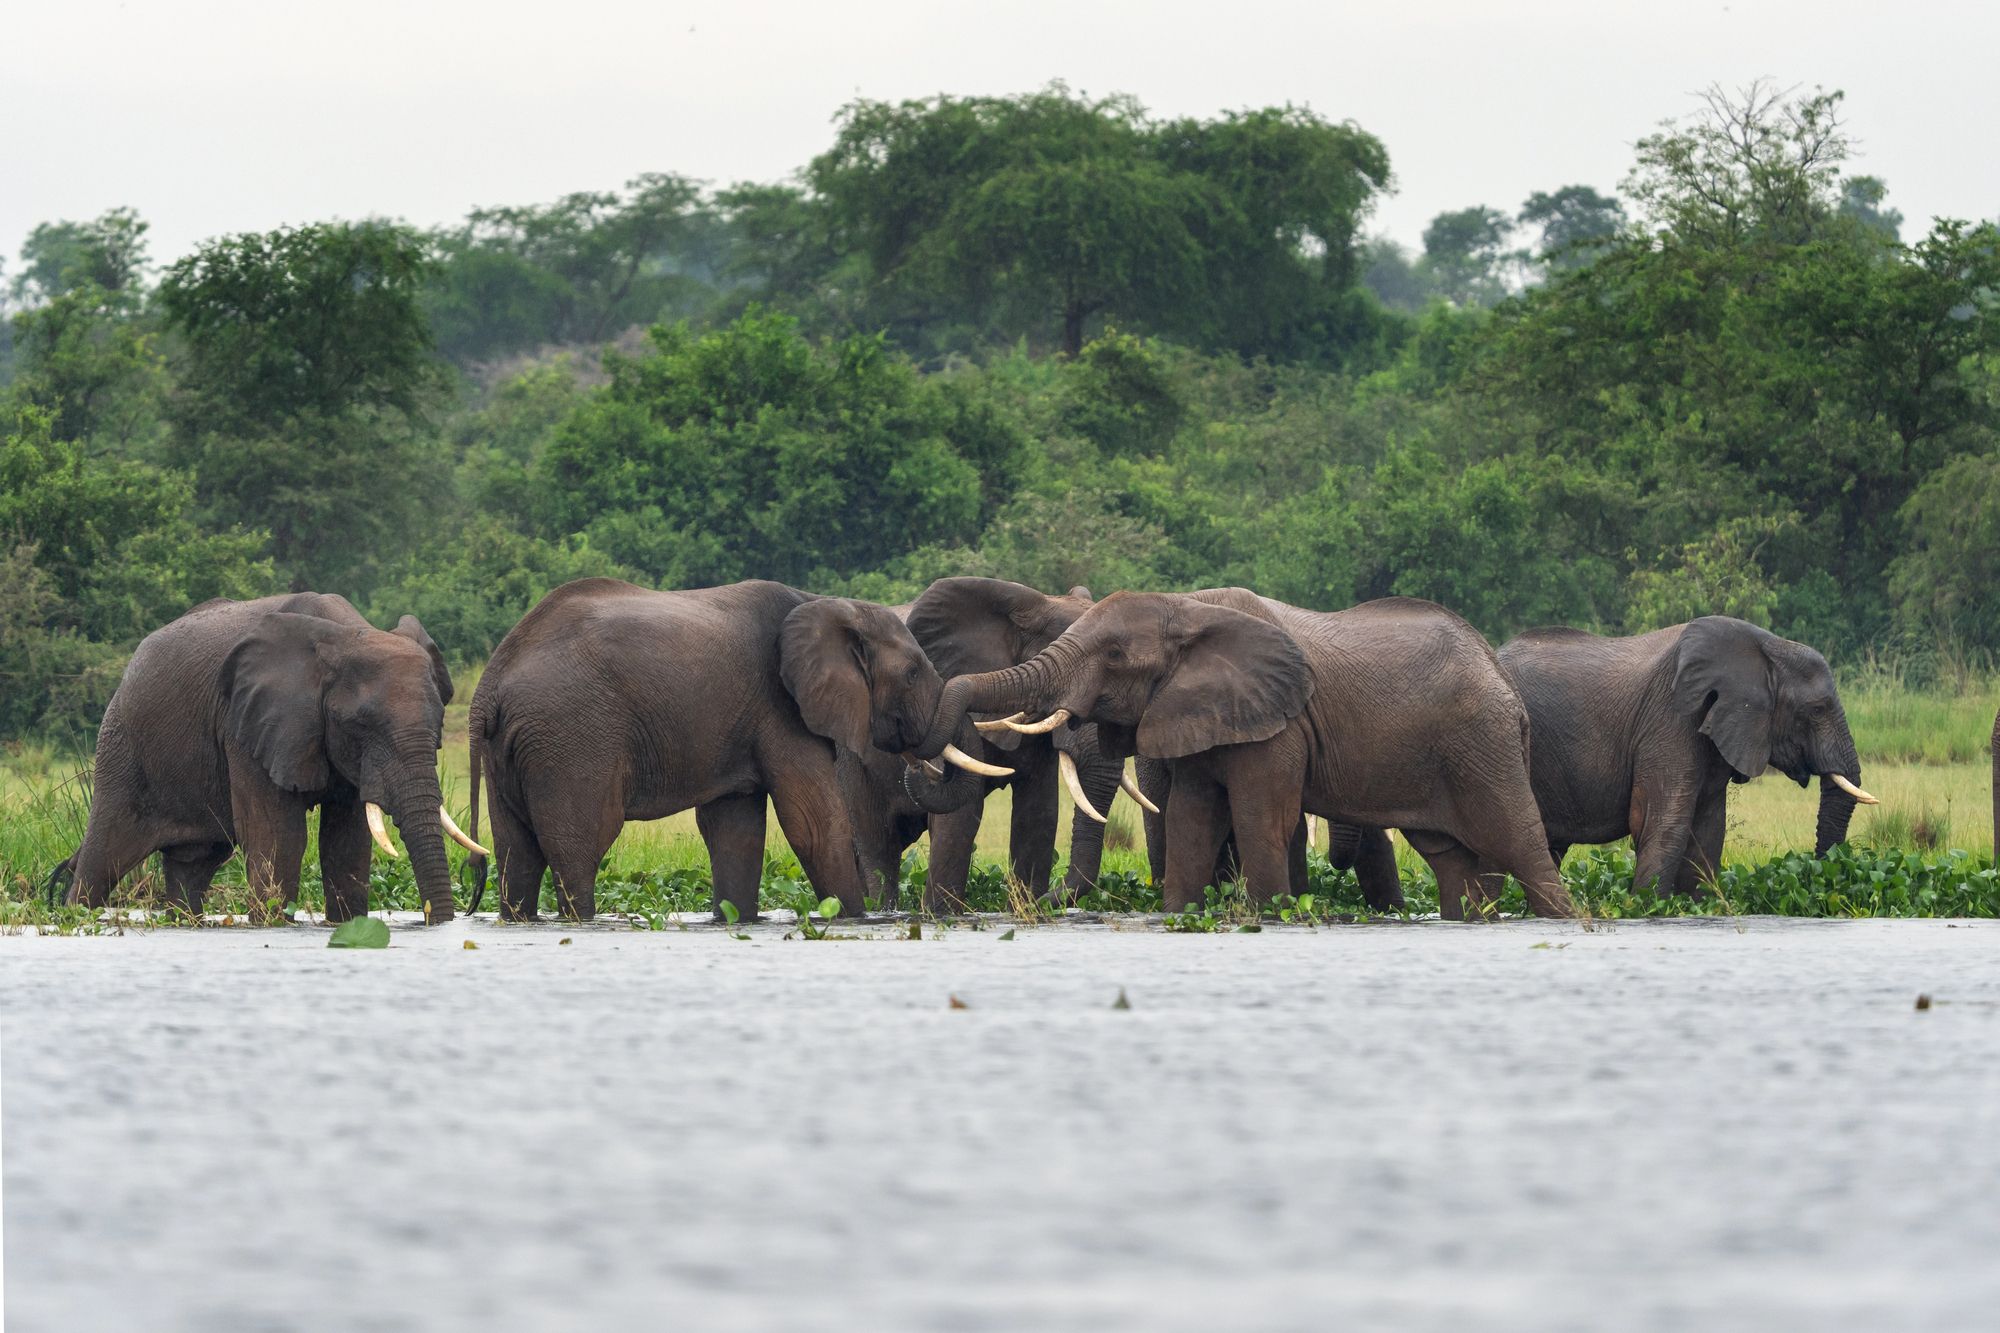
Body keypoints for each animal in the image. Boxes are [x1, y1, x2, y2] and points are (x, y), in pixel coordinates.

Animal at [47, 593, 480, 922]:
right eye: (358, 724)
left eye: (439, 724)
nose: (441, 919)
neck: (345, 635)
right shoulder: (246, 725)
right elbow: (279, 837)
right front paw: (273, 924)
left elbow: (347, 843)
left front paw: (345, 925)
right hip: (121, 747)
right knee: (102, 861)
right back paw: (74, 913)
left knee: (193, 864)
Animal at [464, 578, 994, 922]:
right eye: (913, 673)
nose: (917, 766)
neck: (826, 606)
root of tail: (491, 682)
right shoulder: (781, 709)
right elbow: (812, 823)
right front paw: (853, 920)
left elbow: (734, 829)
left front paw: (736, 922)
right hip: (571, 738)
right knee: (581, 844)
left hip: (512, 747)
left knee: (516, 850)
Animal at [916, 590, 1576, 919]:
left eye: (1116, 658)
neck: (1190, 609)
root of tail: (1500, 673)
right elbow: (1191, 818)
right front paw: (1181, 915)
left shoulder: (1276, 726)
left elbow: (1261, 817)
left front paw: (1270, 913)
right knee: (1454, 862)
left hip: (1482, 742)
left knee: (1518, 841)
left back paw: (1564, 919)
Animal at [1492, 616, 1877, 895]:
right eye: (1816, 710)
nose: (1822, 873)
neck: (1766, 648)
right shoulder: (1671, 718)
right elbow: (1663, 826)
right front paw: (1645, 906)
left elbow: (1708, 832)